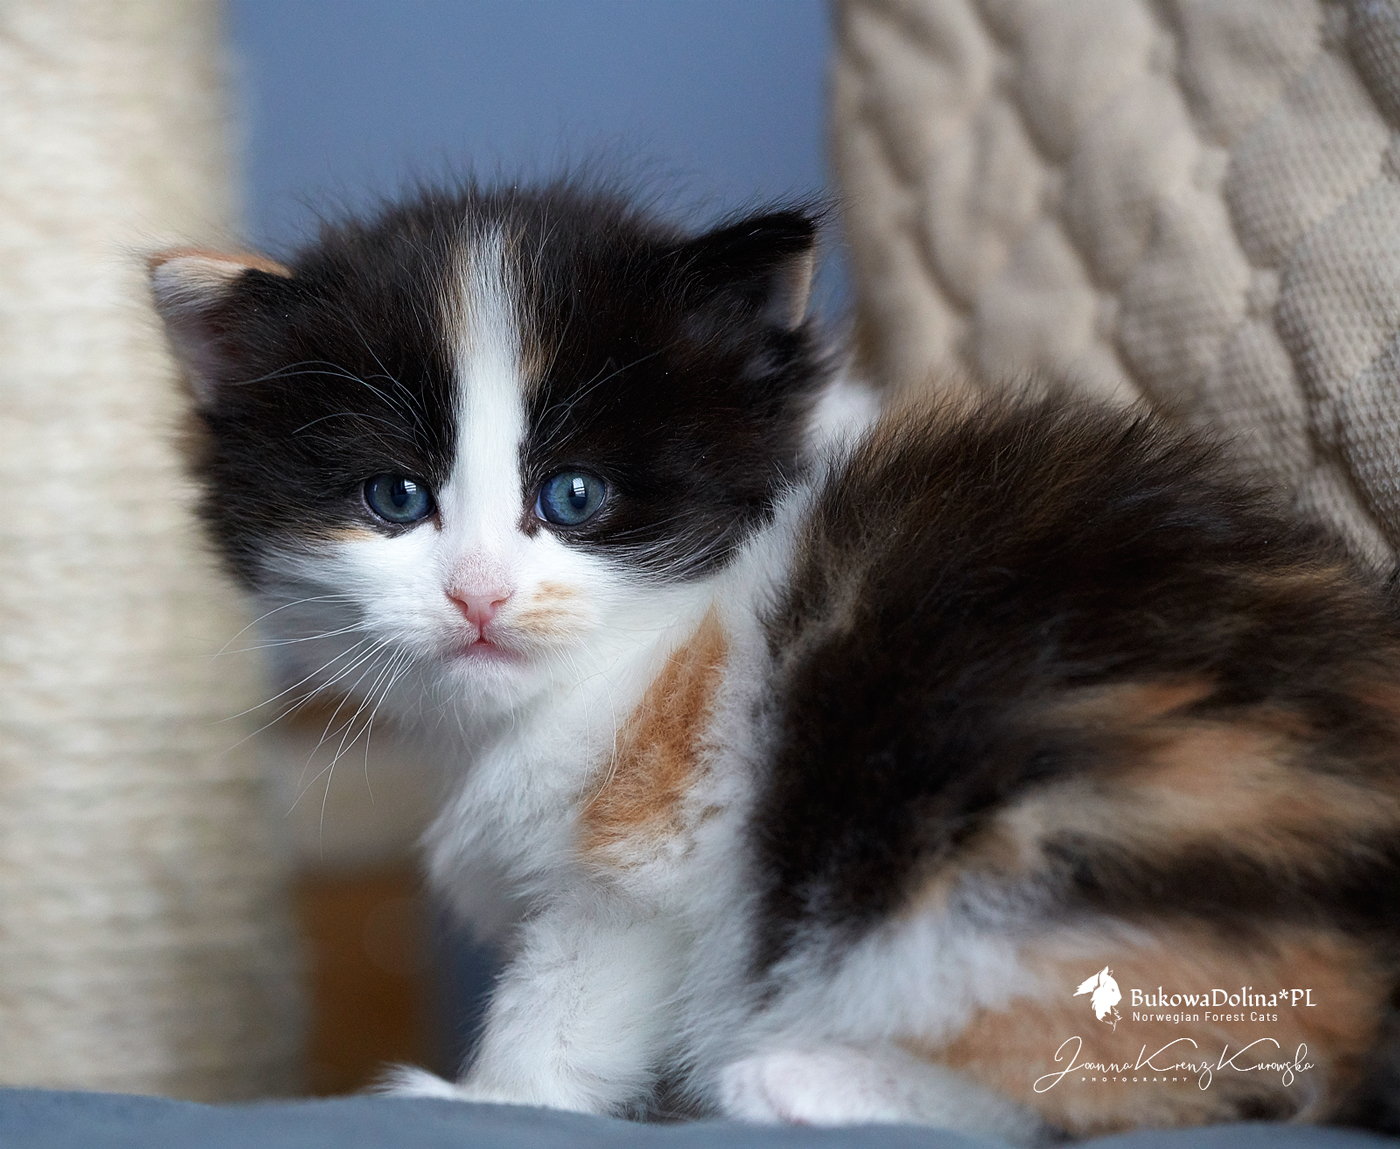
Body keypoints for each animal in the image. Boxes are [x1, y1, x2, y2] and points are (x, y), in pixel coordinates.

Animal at [149, 181, 1400, 1141]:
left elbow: (572, 986)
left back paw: (804, 1078)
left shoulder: (665, 843)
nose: (478, 594)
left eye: (576, 495)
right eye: (395, 499)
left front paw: (486, 1098)